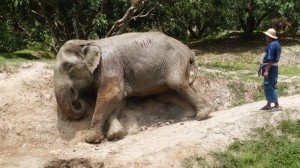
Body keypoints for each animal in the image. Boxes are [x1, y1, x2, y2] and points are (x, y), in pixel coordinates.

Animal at [54, 31, 211, 143]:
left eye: (67, 66)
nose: (77, 99)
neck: (88, 42)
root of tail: (189, 51)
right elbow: (118, 99)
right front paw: (116, 135)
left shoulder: (109, 64)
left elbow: (112, 93)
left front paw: (91, 139)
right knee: (166, 94)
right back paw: (189, 115)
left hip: (175, 60)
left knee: (177, 83)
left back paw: (202, 114)